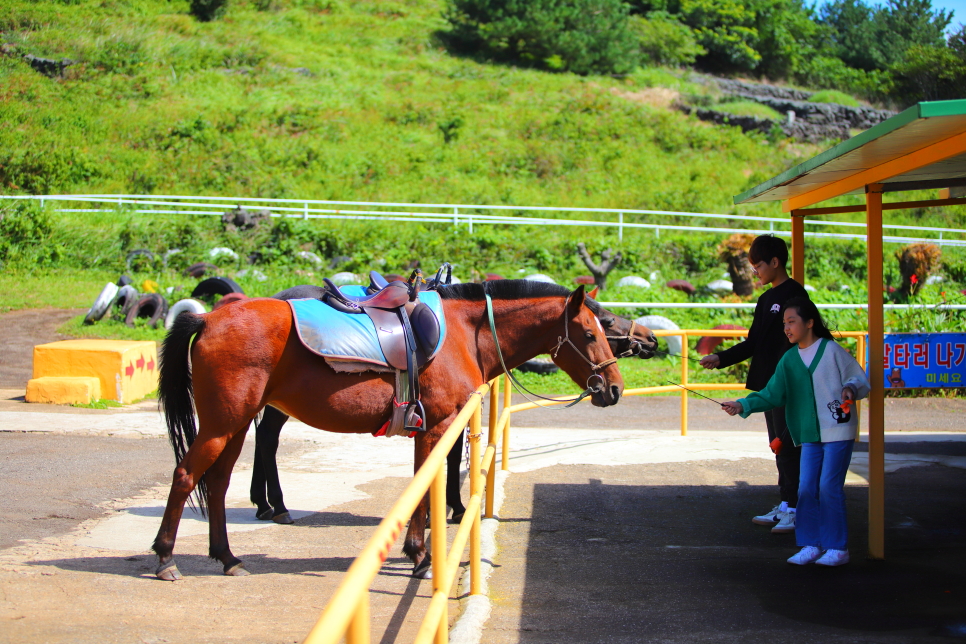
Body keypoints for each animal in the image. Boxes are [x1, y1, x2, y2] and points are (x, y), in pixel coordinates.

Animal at [148, 280, 624, 580]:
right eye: (589, 332)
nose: (614, 388)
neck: (464, 333)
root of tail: (209, 318)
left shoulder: (431, 428)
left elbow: (422, 485)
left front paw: (418, 550)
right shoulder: (438, 428)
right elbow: (428, 487)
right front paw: (421, 557)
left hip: (235, 425)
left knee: (218, 483)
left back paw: (228, 557)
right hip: (221, 425)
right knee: (186, 476)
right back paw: (166, 558)